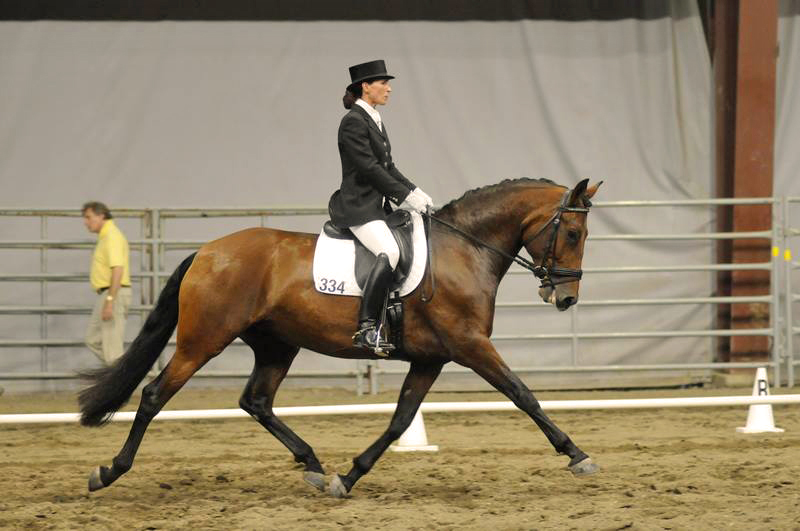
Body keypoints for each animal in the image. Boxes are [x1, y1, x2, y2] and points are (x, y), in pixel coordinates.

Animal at [78, 177, 602, 498]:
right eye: (574, 233)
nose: (566, 298)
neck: (465, 249)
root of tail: (206, 251)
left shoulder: (431, 359)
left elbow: (400, 421)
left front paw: (347, 477)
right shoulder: (471, 346)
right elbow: (523, 394)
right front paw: (578, 455)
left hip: (277, 345)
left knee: (257, 401)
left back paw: (311, 464)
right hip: (202, 340)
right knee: (154, 395)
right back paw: (109, 471)